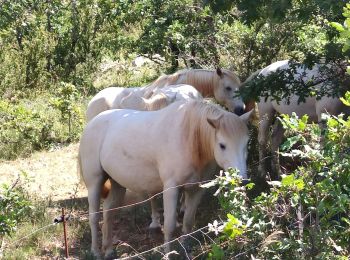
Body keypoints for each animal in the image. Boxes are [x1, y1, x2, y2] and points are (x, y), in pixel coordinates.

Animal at [79, 100, 252, 256]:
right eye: (222, 145)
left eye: (246, 143)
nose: (242, 180)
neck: (189, 138)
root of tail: (92, 123)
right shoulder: (171, 189)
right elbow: (169, 226)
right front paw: (168, 254)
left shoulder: (196, 190)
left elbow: (188, 223)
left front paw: (185, 250)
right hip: (95, 182)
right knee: (94, 217)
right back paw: (96, 251)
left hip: (117, 183)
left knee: (108, 212)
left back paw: (108, 250)